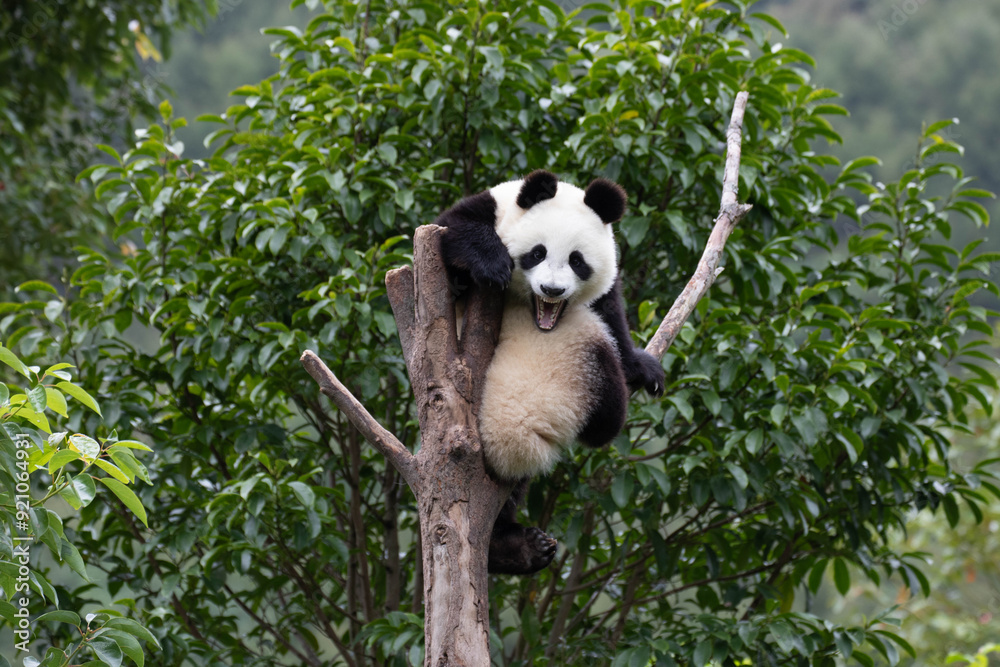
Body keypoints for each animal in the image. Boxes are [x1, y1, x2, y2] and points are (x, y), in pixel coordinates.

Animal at [435, 169, 664, 575]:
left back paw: (517, 547)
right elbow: (452, 230)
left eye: (577, 261)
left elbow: (611, 313)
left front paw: (644, 369)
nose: (552, 289)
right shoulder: (482, 211)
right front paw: (491, 265)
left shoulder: (603, 295)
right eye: (537, 253)